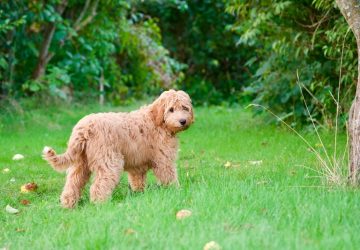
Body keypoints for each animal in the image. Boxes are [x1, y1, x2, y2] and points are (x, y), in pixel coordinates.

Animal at [43, 90, 194, 209]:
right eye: (171, 109)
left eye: (185, 108)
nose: (183, 121)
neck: (157, 120)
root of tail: (84, 128)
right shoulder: (164, 159)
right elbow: (169, 175)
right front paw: (176, 191)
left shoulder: (137, 165)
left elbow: (137, 180)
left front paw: (140, 194)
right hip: (109, 162)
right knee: (98, 185)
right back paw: (100, 204)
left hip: (80, 164)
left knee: (72, 184)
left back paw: (68, 204)